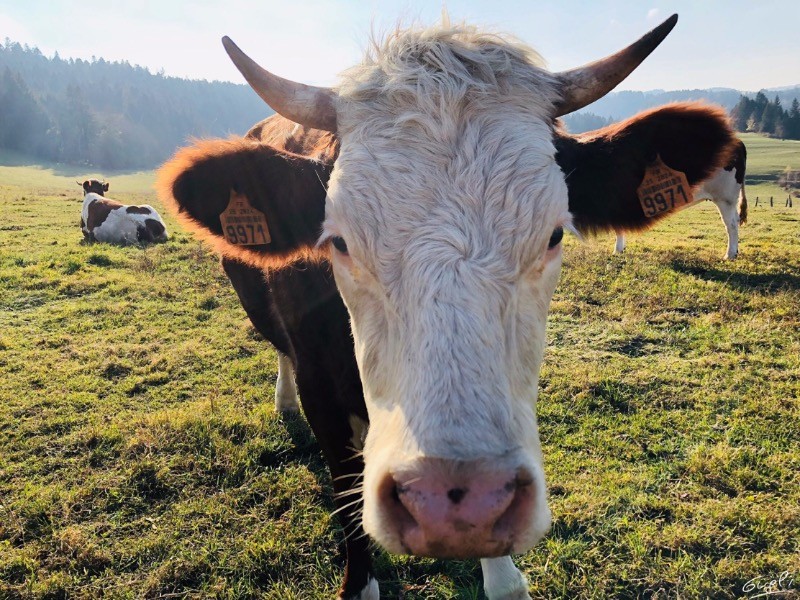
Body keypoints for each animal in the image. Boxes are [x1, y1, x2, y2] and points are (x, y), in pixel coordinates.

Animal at [612, 138, 747, 259]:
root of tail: (738, 141)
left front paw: (617, 250)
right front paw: (620, 249)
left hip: (724, 196)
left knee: (731, 224)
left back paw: (729, 255)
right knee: (735, 219)